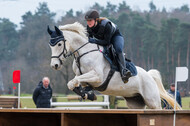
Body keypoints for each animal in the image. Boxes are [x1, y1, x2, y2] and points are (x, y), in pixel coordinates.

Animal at [47, 22, 181, 109]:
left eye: (59, 44)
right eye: (50, 46)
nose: (54, 65)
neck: (83, 53)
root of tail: (149, 76)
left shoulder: (97, 77)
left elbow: (73, 82)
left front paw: (89, 94)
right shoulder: (84, 77)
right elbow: (73, 83)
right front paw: (89, 94)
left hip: (152, 101)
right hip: (135, 102)